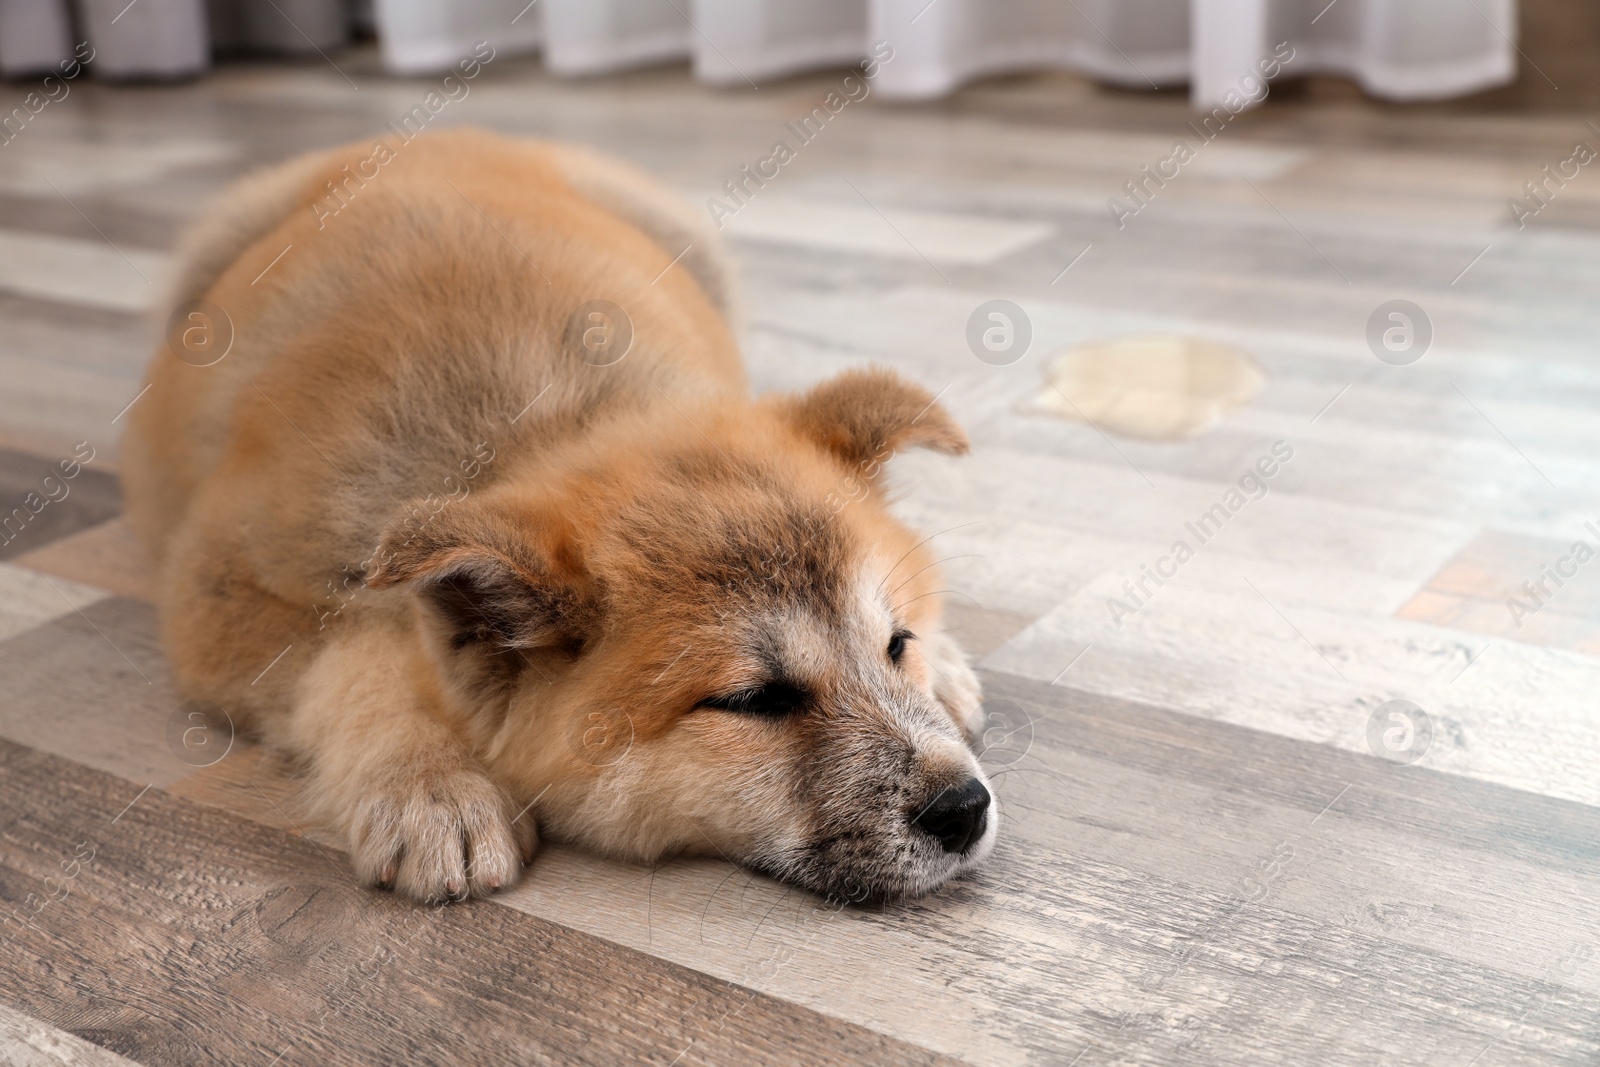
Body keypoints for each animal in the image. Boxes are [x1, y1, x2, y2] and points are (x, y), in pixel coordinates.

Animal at [124, 129, 992, 908]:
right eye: (756, 701)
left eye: (894, 644)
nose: (965, 807)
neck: (546, 429)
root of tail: (426, 134)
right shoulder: (222, 592)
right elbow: (355, 655)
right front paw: (430, 781)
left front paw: (941, 656)